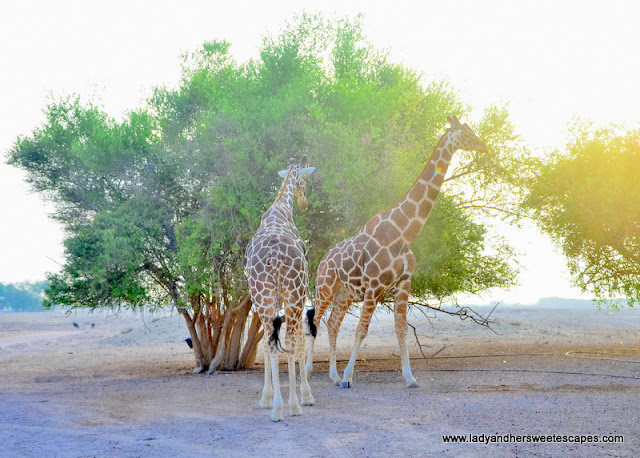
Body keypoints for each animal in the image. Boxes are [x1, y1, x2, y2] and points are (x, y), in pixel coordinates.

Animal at [245, 157, 316, 422]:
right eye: (305, 180)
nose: (304, 202)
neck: (280, 210)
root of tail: (275, 258)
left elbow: (268, 346)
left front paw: (265, 398)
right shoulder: (301, 295)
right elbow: (298, 343)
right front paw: (306, 395)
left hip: (262, 296)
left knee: (271, 344)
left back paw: (275, 407)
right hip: (293, 295)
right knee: (291, 341)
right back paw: (293, 405)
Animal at [308, 116, 488, 388]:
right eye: (466, 132)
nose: (484, 146)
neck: (404, 234)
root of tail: (322, 260)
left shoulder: (403, 282)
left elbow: (401, 329)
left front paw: (410, 377)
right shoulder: (374, 285)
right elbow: (362, 329)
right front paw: (349, 377)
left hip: (345, 293)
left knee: (332, 324)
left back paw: (333, 375)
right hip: (325, 286)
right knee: (315, 320)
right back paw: (309, 371)